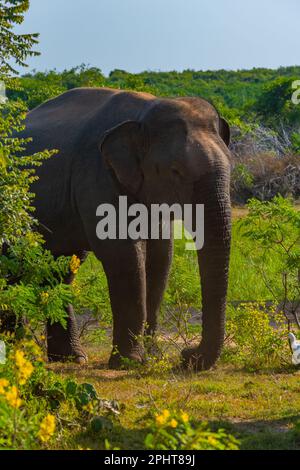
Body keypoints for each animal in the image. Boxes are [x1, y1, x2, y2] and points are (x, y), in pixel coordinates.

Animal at [14, 86, 232, 370]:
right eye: (175, 171)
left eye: (231, 165)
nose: (187, 356)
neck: (144, 112)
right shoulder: (97, 174)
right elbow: (124, 255)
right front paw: (131, 362)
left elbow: (161, 257)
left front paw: (153, 357)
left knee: (61, 268)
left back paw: (71, 358)